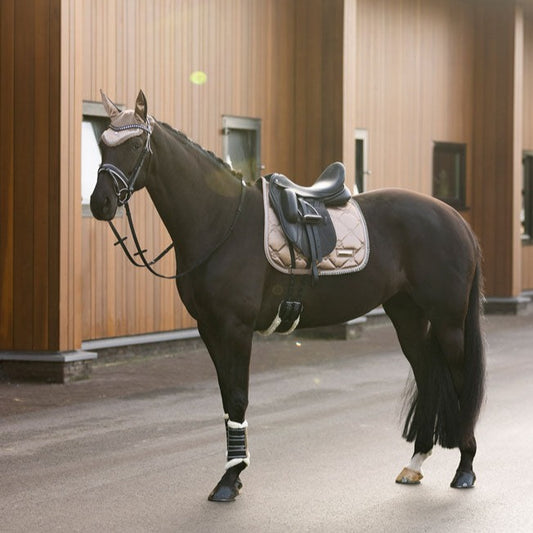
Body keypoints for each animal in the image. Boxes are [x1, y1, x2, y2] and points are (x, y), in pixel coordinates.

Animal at [89, 89, 484, 500]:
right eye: (102, 143)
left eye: (135, 145)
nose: (100, 203)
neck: (222, 221)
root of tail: (456, 220)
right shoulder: (209, 329)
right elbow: (227, 401)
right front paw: (232, 473)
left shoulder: (235, 328)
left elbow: (238, 397)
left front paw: (230, 479)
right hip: (408, 317)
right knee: (427, 376)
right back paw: (415, 463)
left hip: (449, 322)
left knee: (459, 380)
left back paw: (465, 469)